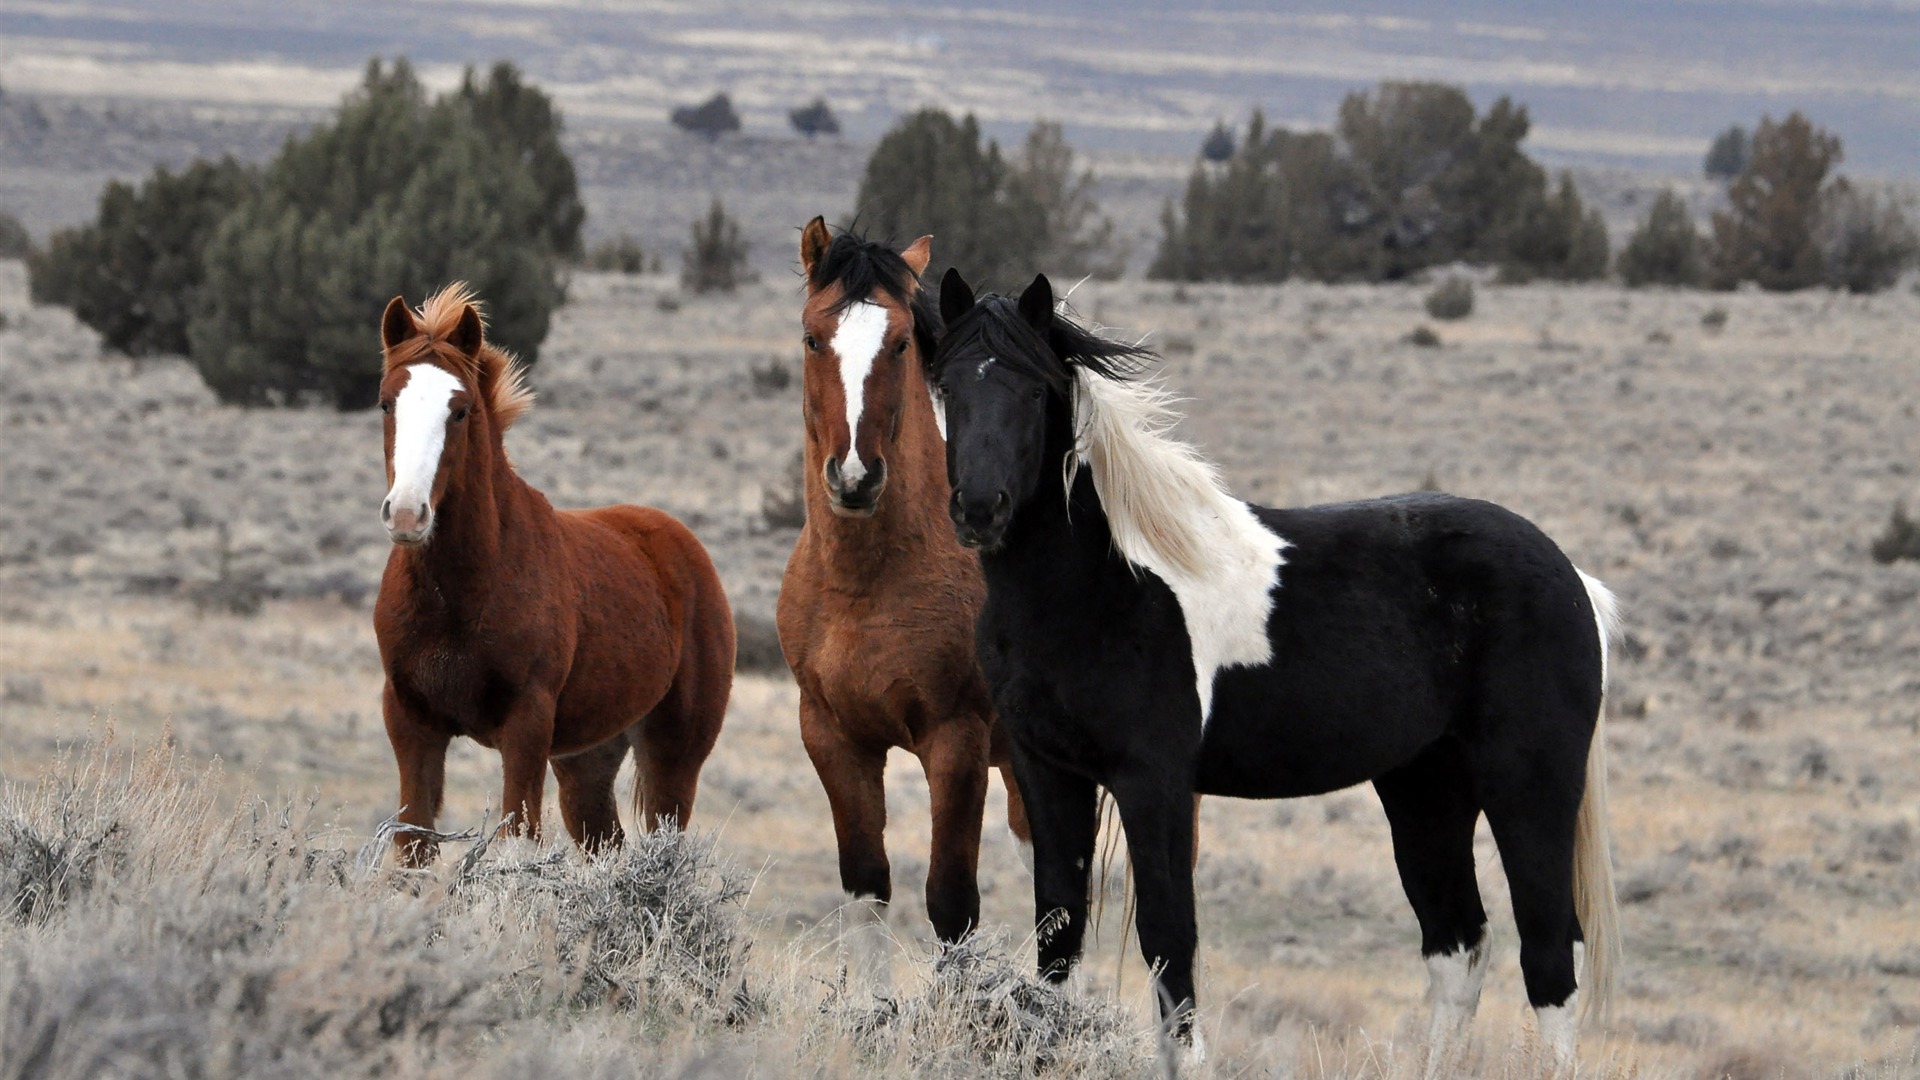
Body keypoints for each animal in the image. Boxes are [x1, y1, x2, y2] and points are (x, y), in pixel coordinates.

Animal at [372, 282, 733, 860]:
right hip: (586, 760)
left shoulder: (527, 727)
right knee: (606, 842)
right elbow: (412, 846)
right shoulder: (411, 722)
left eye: (460, 410)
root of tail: (683, 545)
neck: (459, 594)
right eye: (387, 403)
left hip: (673, 756)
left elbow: (517, 838)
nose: (407, 514)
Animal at [771, 219, 1029, 957]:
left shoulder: (956, 742)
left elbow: (952, 905)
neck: (864, 586)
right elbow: (867, 892)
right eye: (812, 336)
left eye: (901, 341)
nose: (856, 476)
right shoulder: (835, 739)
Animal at [929, 270, 1620, 1068]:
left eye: (1033, 389)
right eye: (947, 385)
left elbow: (1170, 941)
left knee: (1549, 955)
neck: (1102, 584)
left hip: (1528, 789)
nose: (980, 508)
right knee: (1458, 947)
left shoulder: (1153, 781)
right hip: (1426, 788)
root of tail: (1572, 578)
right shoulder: (1048, 772)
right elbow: (1059, 935)